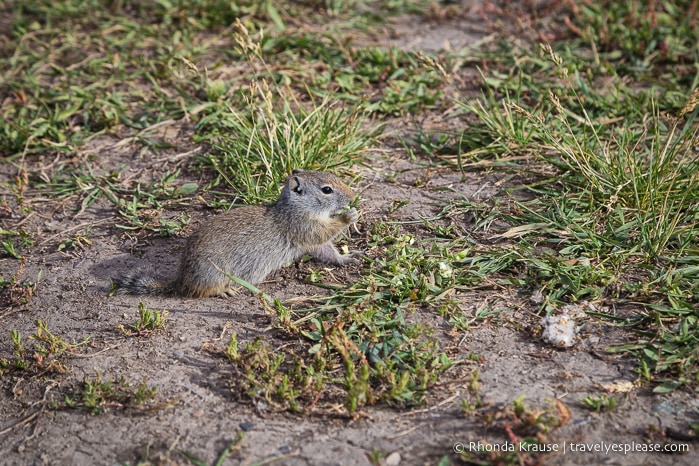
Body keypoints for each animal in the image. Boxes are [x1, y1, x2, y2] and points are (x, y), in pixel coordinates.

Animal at [113, 169, 360, 296]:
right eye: (326, 189)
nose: (353, 196)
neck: (293, 206)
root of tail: (181, 280)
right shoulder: (304, 227)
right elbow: (324, 233)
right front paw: (349, 216)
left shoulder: (312, 242)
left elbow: (327, 251)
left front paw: (347, 258)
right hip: (214, 275)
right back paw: (224, 291)